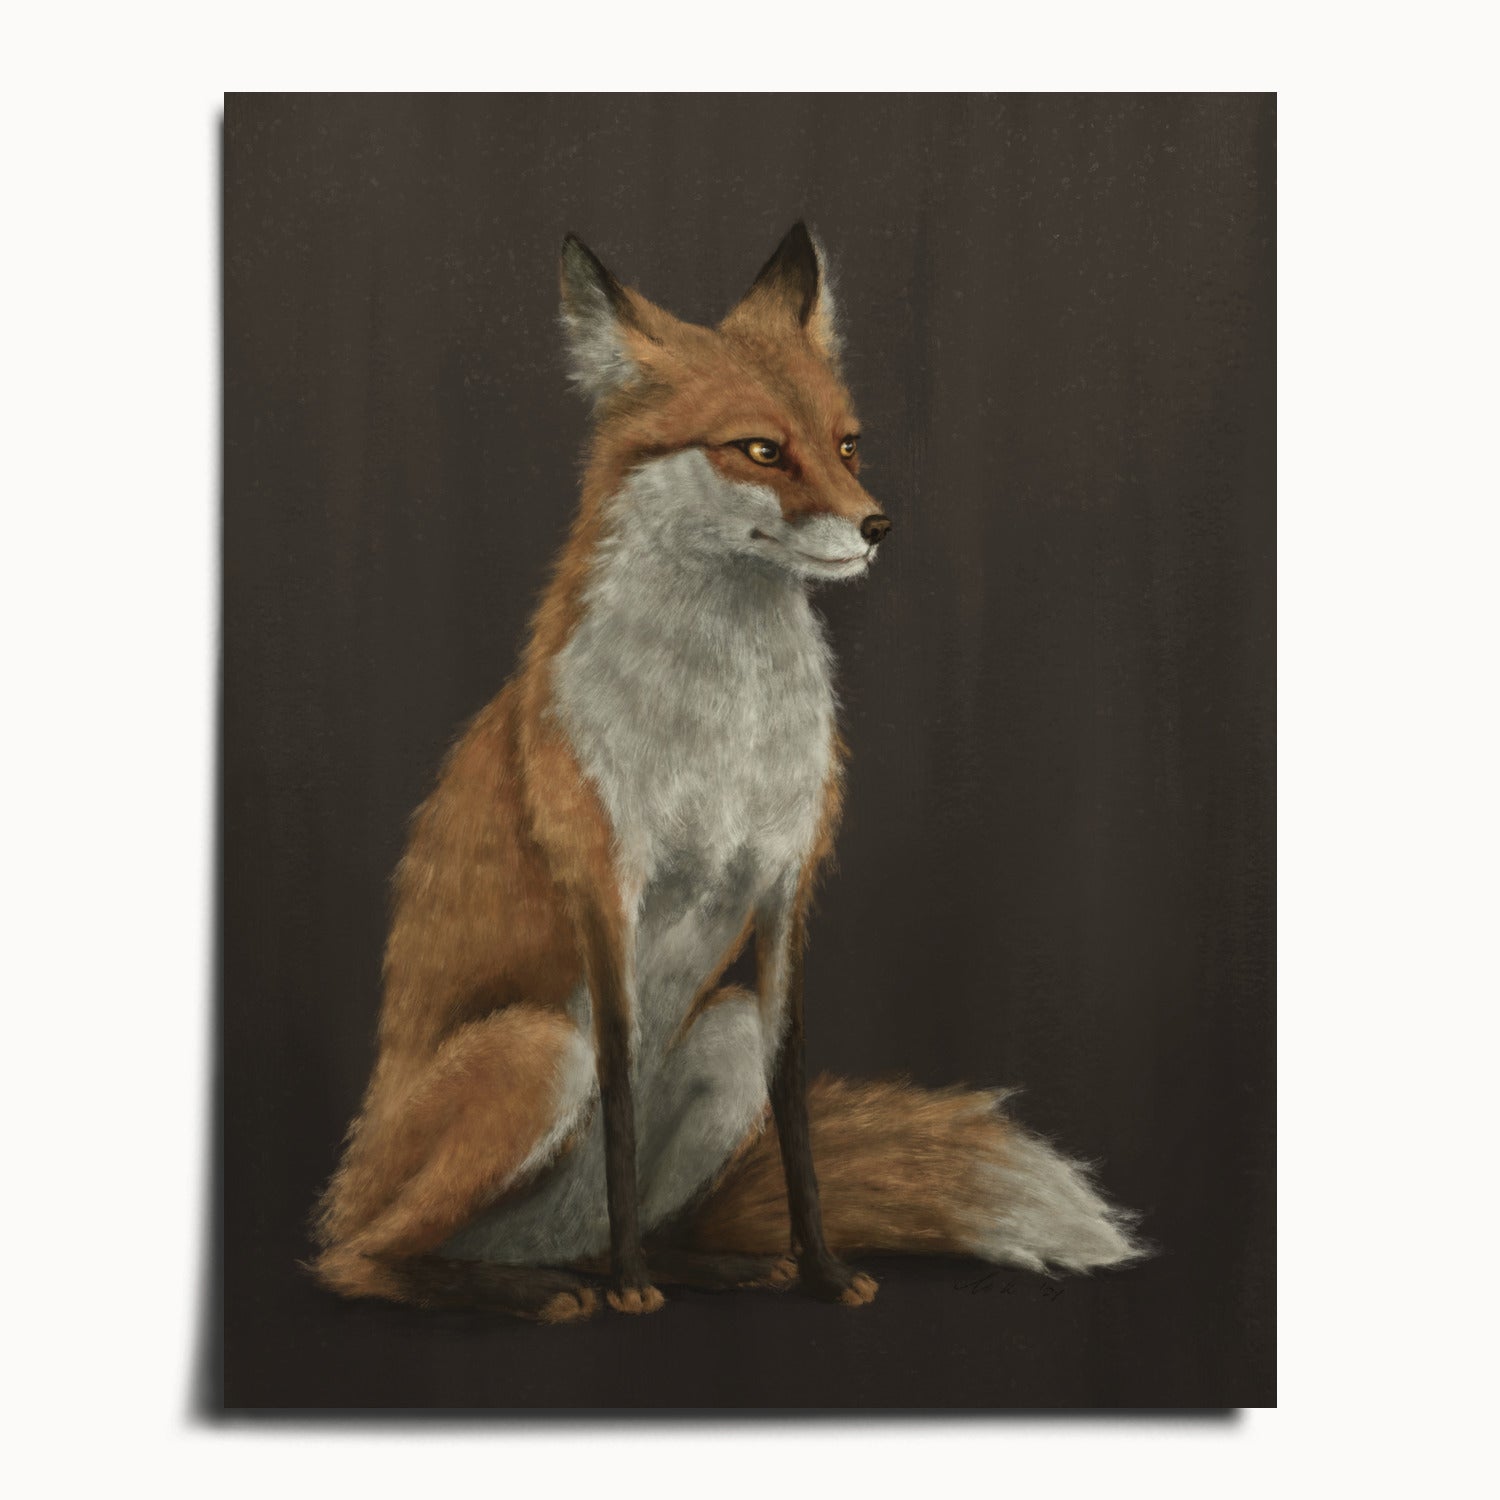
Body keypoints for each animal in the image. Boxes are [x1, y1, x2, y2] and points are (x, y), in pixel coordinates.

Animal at [310, 222, 1145, 1322]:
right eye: (760, 449)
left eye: (847, 444)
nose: (878, 526)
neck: (725, 730)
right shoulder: (606, 888)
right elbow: (621, 1097)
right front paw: (634, 1290)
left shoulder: (788, 886)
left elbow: (795, 1113)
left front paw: (822, 1270)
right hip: (535, 1051)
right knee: (360, 1259)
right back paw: (545, 1288)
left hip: (723, 1032)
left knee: (593, 1227)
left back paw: (698, 1265)